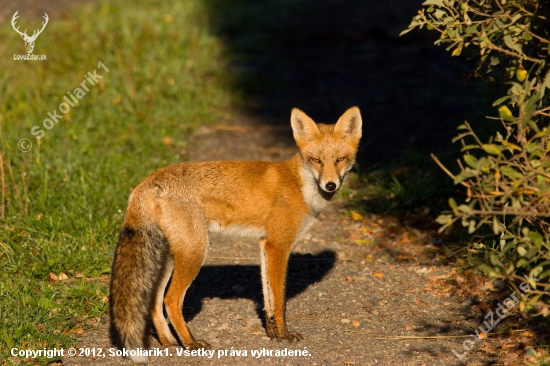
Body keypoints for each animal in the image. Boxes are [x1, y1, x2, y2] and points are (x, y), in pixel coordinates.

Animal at [110, 106, 364, 364]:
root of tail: (147, 182)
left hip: (172, 256)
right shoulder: (279, 245)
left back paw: (169, 342)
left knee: (154, 300)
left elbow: (268, 299)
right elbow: (280, 299)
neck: (300, 185)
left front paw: (273, 334)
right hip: (195, 251)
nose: (330, 185)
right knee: (170, 300)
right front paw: (284, 335)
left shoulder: (264, 243)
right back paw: (191, 343)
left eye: (340, 159)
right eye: (316, 160)